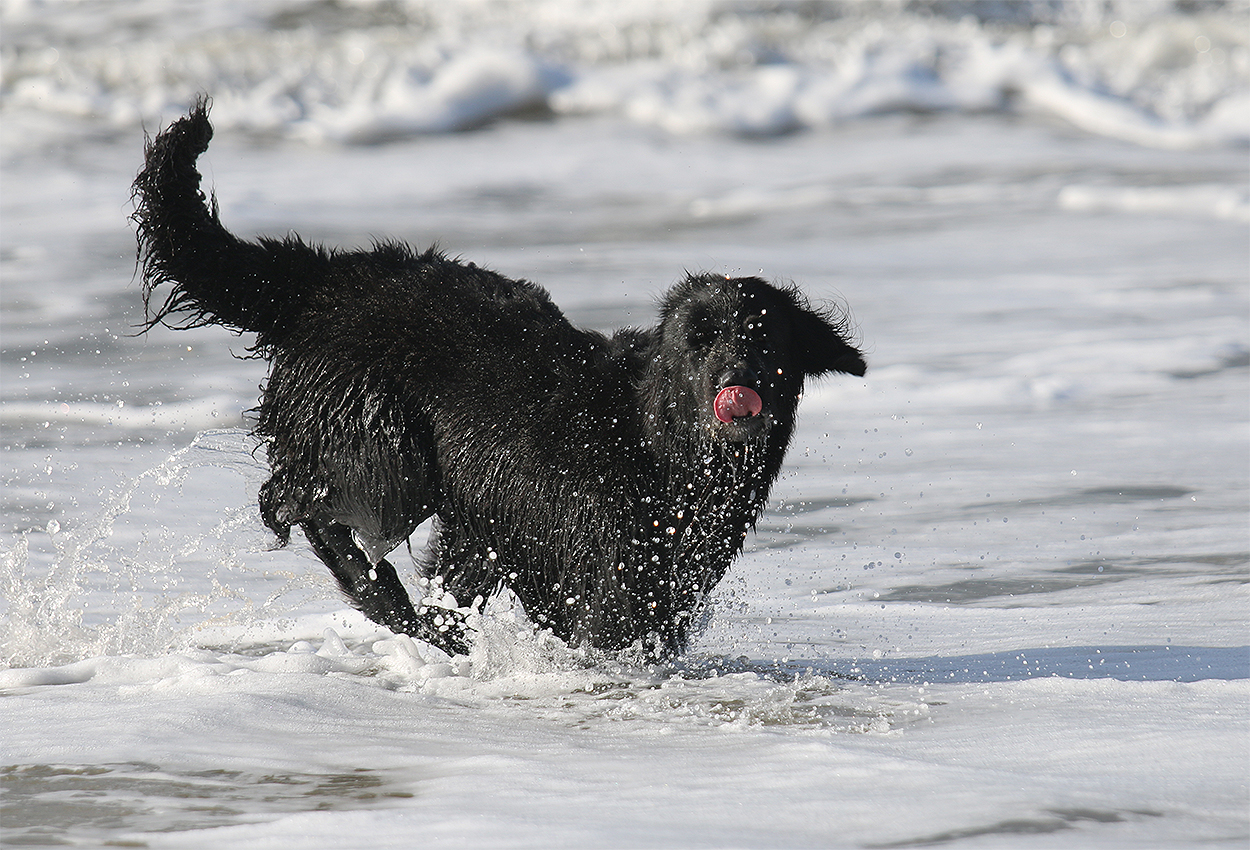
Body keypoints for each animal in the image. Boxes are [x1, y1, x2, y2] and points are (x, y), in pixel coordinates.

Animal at [131, 97, 866, 659]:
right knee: (290, 500)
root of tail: (327, 281)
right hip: (385, 448)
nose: (737, 382)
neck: (653, 440)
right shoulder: (602, 576)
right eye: (699, 339)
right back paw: (382, 593)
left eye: (764, 337)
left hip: (458, 507)